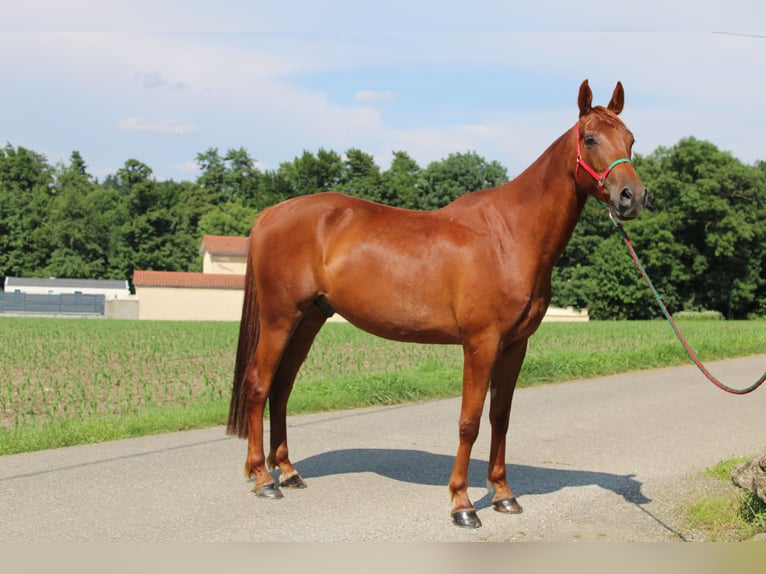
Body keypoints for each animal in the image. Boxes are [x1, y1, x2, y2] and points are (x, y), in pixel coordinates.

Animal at [226, 81, 648, 532]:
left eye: (630, 139)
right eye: (590, 138)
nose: (632, 196)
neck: (509, 235)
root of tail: (271, 214)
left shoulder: (515, 346)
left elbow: (500, 417)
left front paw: (503, 494)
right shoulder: (481, 344)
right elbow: (469, 422)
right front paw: (463, 503)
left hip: (310, 319)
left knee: (282, 388)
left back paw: (287, 471)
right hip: (280, 318)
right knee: (258, 385)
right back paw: (263, 478)